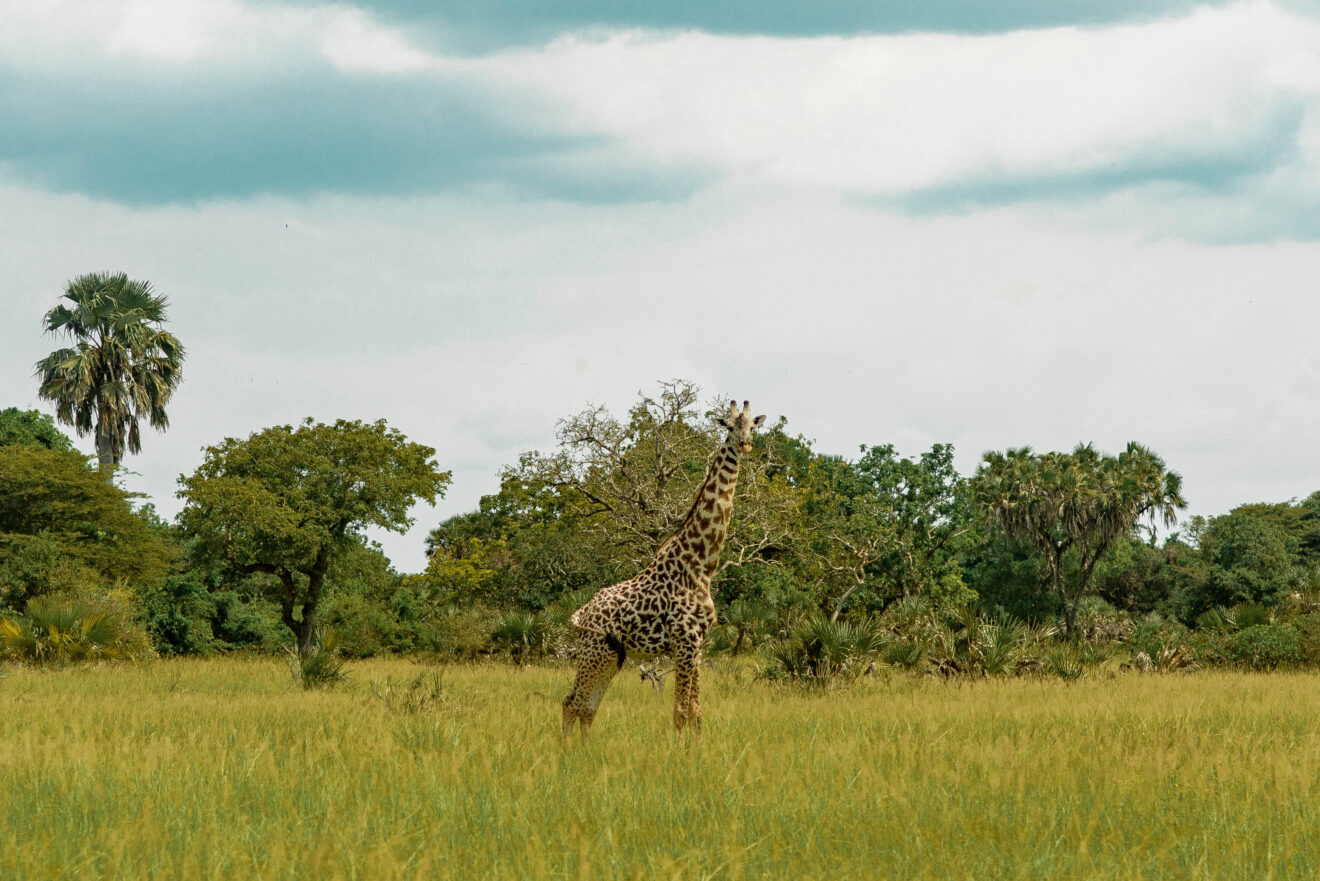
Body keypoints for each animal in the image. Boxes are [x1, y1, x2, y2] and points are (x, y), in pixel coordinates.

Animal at [562, 399, 766, 738]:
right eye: (729, 426)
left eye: (753, 426)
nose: (745, 444)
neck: (702, 564)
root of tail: (582, 611)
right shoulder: (684, 642)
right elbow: (681, 711)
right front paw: (677, 750)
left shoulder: (698, 645)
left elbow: (697, 711)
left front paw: (696, 749)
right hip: (593, 650)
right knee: (572, 703)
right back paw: (567, 750)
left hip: (611, 655)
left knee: (587, 707)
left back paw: (583, 750)